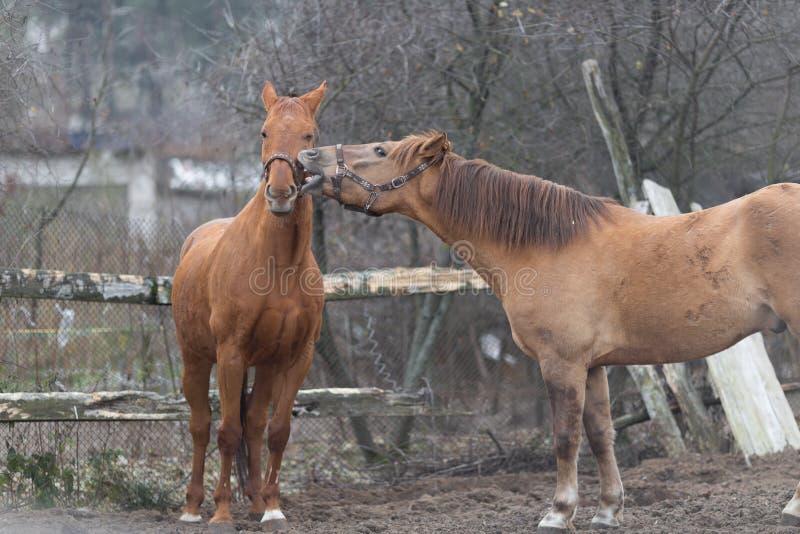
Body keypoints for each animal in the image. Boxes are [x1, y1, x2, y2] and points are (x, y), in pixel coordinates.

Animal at [171, 81, 326, 530]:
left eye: (309, 135)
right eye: (264, 132)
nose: (280, 193)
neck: (278, 265)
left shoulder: (296, 358)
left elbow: (276, 431)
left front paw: (273, 507)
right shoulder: (231, 354)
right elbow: (227, 433)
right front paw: (221, 513)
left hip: (267, 365)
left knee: (255, 425)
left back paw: (257, 502)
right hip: (195, 360)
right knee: (202, 426)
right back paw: (192, 508)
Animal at [297, 131, 800, 531]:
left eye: (380, 150)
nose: (309, 156)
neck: (547, 243)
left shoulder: (562, 363)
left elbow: (564, 438)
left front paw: (558, 512)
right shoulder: (594, 366)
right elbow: (600, 435)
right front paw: (607, 511)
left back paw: (791, 508)